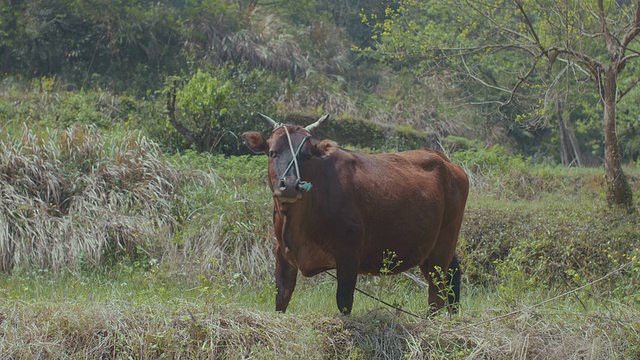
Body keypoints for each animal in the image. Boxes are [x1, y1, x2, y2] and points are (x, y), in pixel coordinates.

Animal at [242, 114, 468, 314]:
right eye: (272, 152)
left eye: (306, 155)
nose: (289, 185)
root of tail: (444, 159)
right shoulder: (282, 254)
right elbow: (281, 298)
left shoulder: (348, 254)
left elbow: (344, 301)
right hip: (429, 253)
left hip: (443, 246)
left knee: (436, 295)